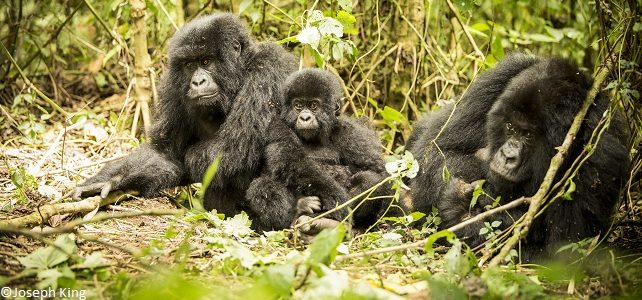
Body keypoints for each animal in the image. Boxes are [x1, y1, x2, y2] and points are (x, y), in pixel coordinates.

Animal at [73, 14, 300, 224]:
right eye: (190, 65)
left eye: (207, 61)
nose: (198, 82)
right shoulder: (173, 86)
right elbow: (166, 153)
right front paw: (115, 178)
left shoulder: (269, 69)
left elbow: (231, 150)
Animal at [244, 69, 384, 233]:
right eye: (298, 105)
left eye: (313, 106)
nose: (304, 117)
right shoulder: (277, 126)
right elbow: (292, 163)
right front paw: (336, 198)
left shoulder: (349, 132)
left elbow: (375, 169)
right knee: (262, 186)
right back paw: (298, 211)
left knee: (370, 179)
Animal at [408, 53, 628, 260]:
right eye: (510, 127)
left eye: (528, 135)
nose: (507, 156)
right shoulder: (496, 79)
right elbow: (437, 150)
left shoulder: (601, 148)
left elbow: (561, 252)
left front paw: (463, 213)